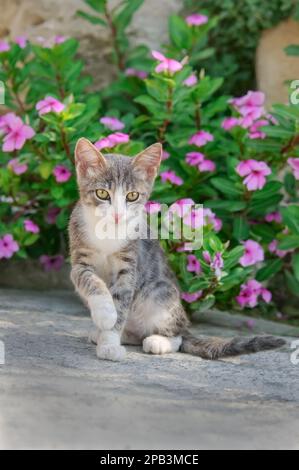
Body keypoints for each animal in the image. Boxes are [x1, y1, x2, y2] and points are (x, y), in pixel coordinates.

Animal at [69, 138, 288, 362]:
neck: (108, 233)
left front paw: (109, 343)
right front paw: (106, 314)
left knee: (177, 337)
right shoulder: (79, 258)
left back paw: (158, 341)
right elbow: (89, 280)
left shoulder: (130, 266)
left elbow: (121, 302)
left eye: (132, 196)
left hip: (160, 294)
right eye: (102, 193)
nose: (117, 215)